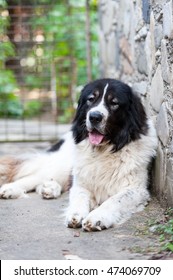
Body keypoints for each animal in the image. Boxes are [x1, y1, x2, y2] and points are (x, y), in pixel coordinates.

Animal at [0, 77, 157, 231]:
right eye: (91, 99)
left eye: (114, 103)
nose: (94, 117)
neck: (104, 150)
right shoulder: (82, 183)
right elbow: (79, 197)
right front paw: (75, 215)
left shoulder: (136, 190)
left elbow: (114, 200)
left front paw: (97, 217)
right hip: (64, 163)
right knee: (35, 176)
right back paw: (11, 188)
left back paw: (49, 189)